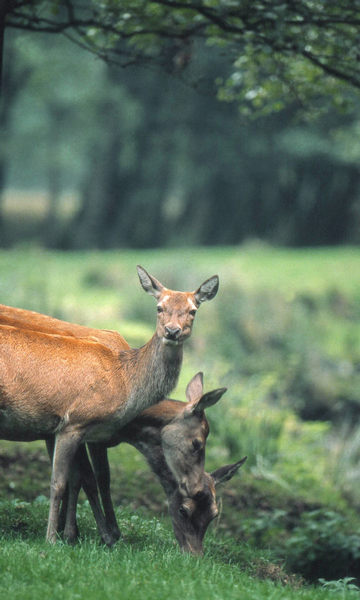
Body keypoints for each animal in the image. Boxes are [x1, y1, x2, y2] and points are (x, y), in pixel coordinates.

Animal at [0, 264, 219, 540]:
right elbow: (71, 481)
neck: (125, 381)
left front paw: (73, 533)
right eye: (159, 307)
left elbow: (83, 479)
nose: (172, 331)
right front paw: (62, 537)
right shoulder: (75, 423)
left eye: (193, 310)